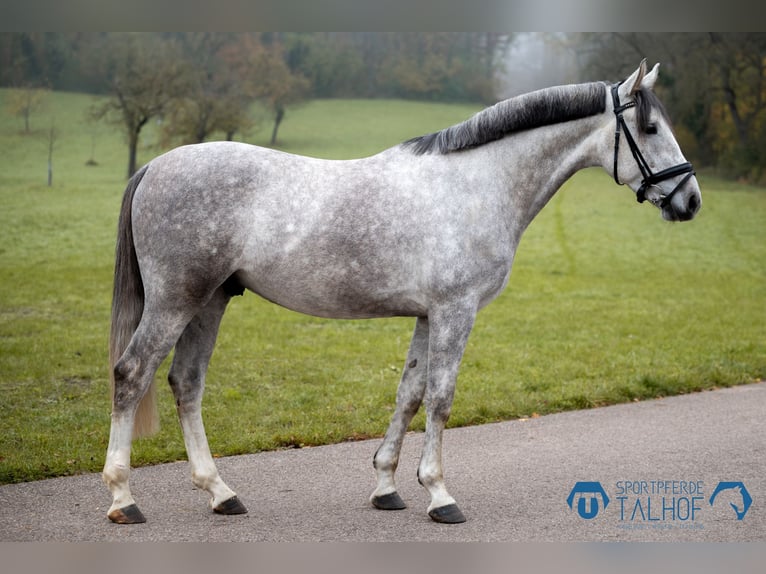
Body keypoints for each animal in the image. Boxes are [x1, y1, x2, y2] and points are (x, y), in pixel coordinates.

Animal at [102, 60, 701, 525]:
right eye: (649, 127)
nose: (690, 200)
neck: (477, 184)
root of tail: (155, 165)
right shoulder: (456, 311)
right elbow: (440, 398)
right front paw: (439, 494)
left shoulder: (427, 315)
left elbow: (409, 394)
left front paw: (386, 487)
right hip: (176, 300)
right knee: (132, 374)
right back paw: (123, 498)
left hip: (211, 300)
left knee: (186, 382)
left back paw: (220, 492)